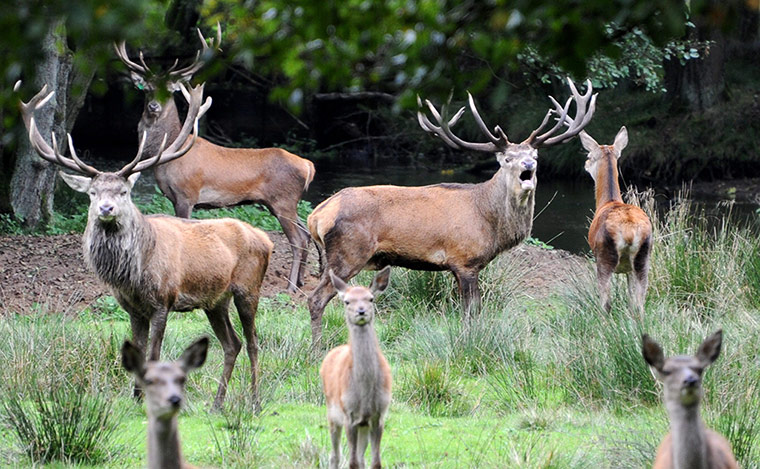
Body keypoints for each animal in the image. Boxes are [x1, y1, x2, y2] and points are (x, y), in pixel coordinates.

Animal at [20, 82, 273, 410]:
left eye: (124, 192)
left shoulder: (163, 301)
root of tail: (266, 239)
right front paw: (136, 398)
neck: (133, 274)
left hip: (248, 288)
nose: (105, 209)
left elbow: (154, 354)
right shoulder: (133, 309)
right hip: (216, 300)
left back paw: (254, 399)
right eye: (92, 192)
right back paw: (218, 403)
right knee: (232, 343)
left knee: (253, 341)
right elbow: (137, 353)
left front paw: (151, 400)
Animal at [114, 26, 315, 293]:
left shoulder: (187, 194)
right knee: (307, 232)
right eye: (147, 89)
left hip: (283, 200)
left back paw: (291, 287)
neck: (169, 155)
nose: (154, 106)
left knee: (298, 238)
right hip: (283, 203)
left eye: (169, 91)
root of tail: (308, 166)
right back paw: (302, 280)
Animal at [306, 78, 596, 346]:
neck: (490, 223)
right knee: (316, 298)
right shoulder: (464, 260)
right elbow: (470, 311)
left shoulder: (468, 266)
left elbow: (474, 309)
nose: (528, 166)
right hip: (348, 252)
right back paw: (316, 347)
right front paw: (470, 340)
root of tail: (316, 215)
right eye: (507, 159)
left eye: (535, 156)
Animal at [320, 266, 392, 469]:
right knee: (335, 455)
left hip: (363, 427)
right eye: (347, 301)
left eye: (371, 298)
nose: (361, 311)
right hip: (332, 413)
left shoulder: (378, 415)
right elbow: (352, 462)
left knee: (361, 457)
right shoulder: (348, 414)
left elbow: (374, 463)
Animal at [578, 127, 652, 313]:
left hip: (604, 257)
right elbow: (632, 299)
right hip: (643, 259)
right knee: (640, 304)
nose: (585, 164)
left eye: (589, 155)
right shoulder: (629, 270)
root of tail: (629, 233)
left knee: (606, 303)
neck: (608, 201)